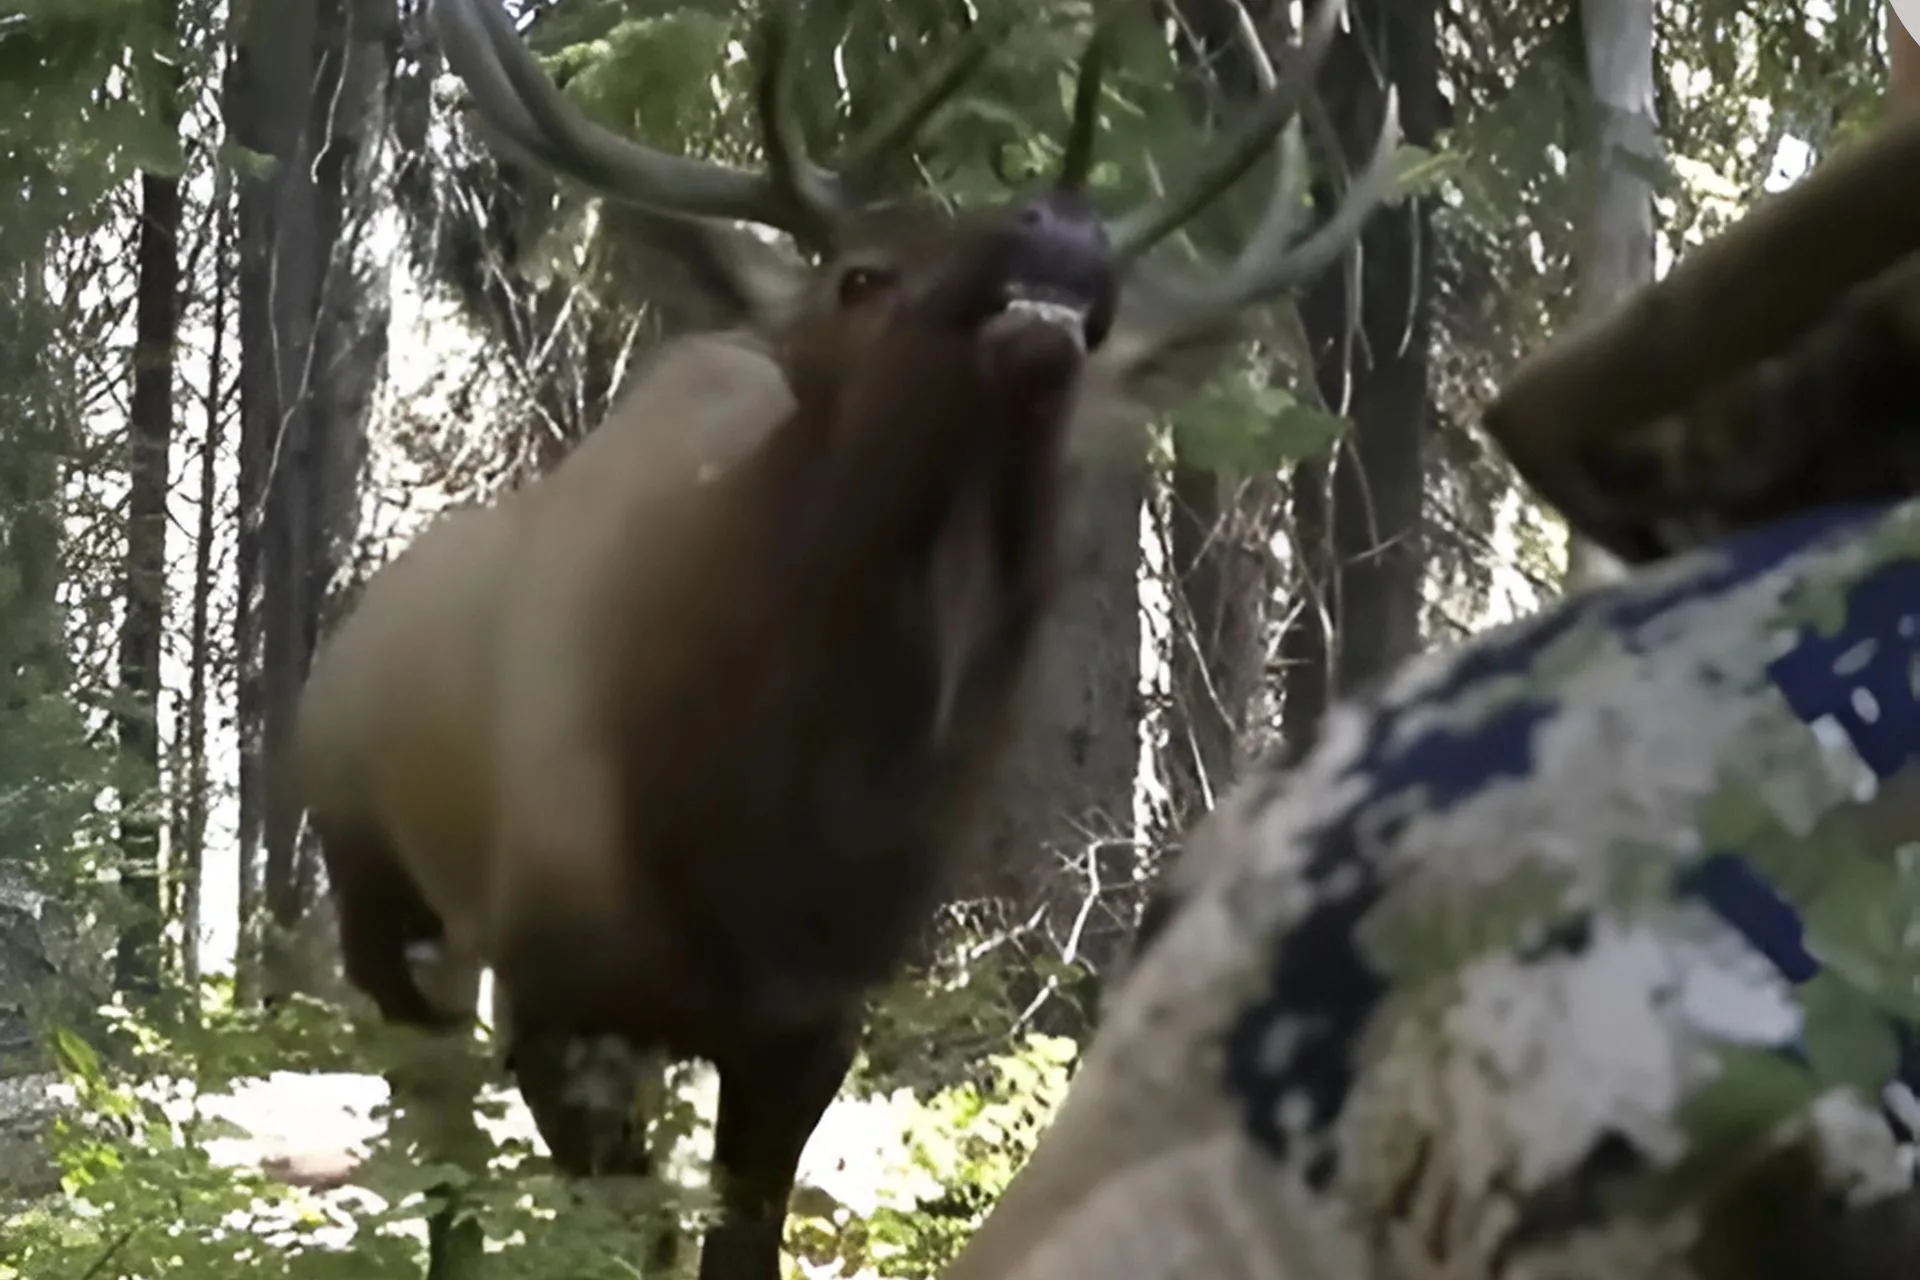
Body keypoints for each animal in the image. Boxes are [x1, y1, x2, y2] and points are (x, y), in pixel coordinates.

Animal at [291, 0, 1400, 1276]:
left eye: (1110, 341)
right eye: (860, 274)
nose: (1056, 216)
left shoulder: (810, 1019)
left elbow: (735, 1240)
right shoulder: (558, 989)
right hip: (385, 908)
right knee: (444, 1151)